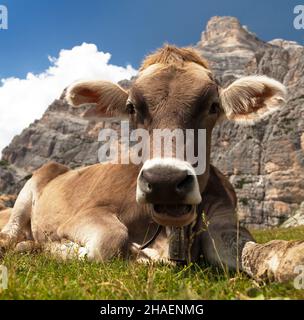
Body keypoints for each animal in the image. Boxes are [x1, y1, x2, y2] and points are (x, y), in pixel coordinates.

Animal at [0, 46, 304, 282]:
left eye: (213, 106)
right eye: (132, 107)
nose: (164, 181)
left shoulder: (226, 220)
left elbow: (256, 251)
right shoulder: (85, 214)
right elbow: (110, 242)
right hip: (30, 188)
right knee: (12, 236)